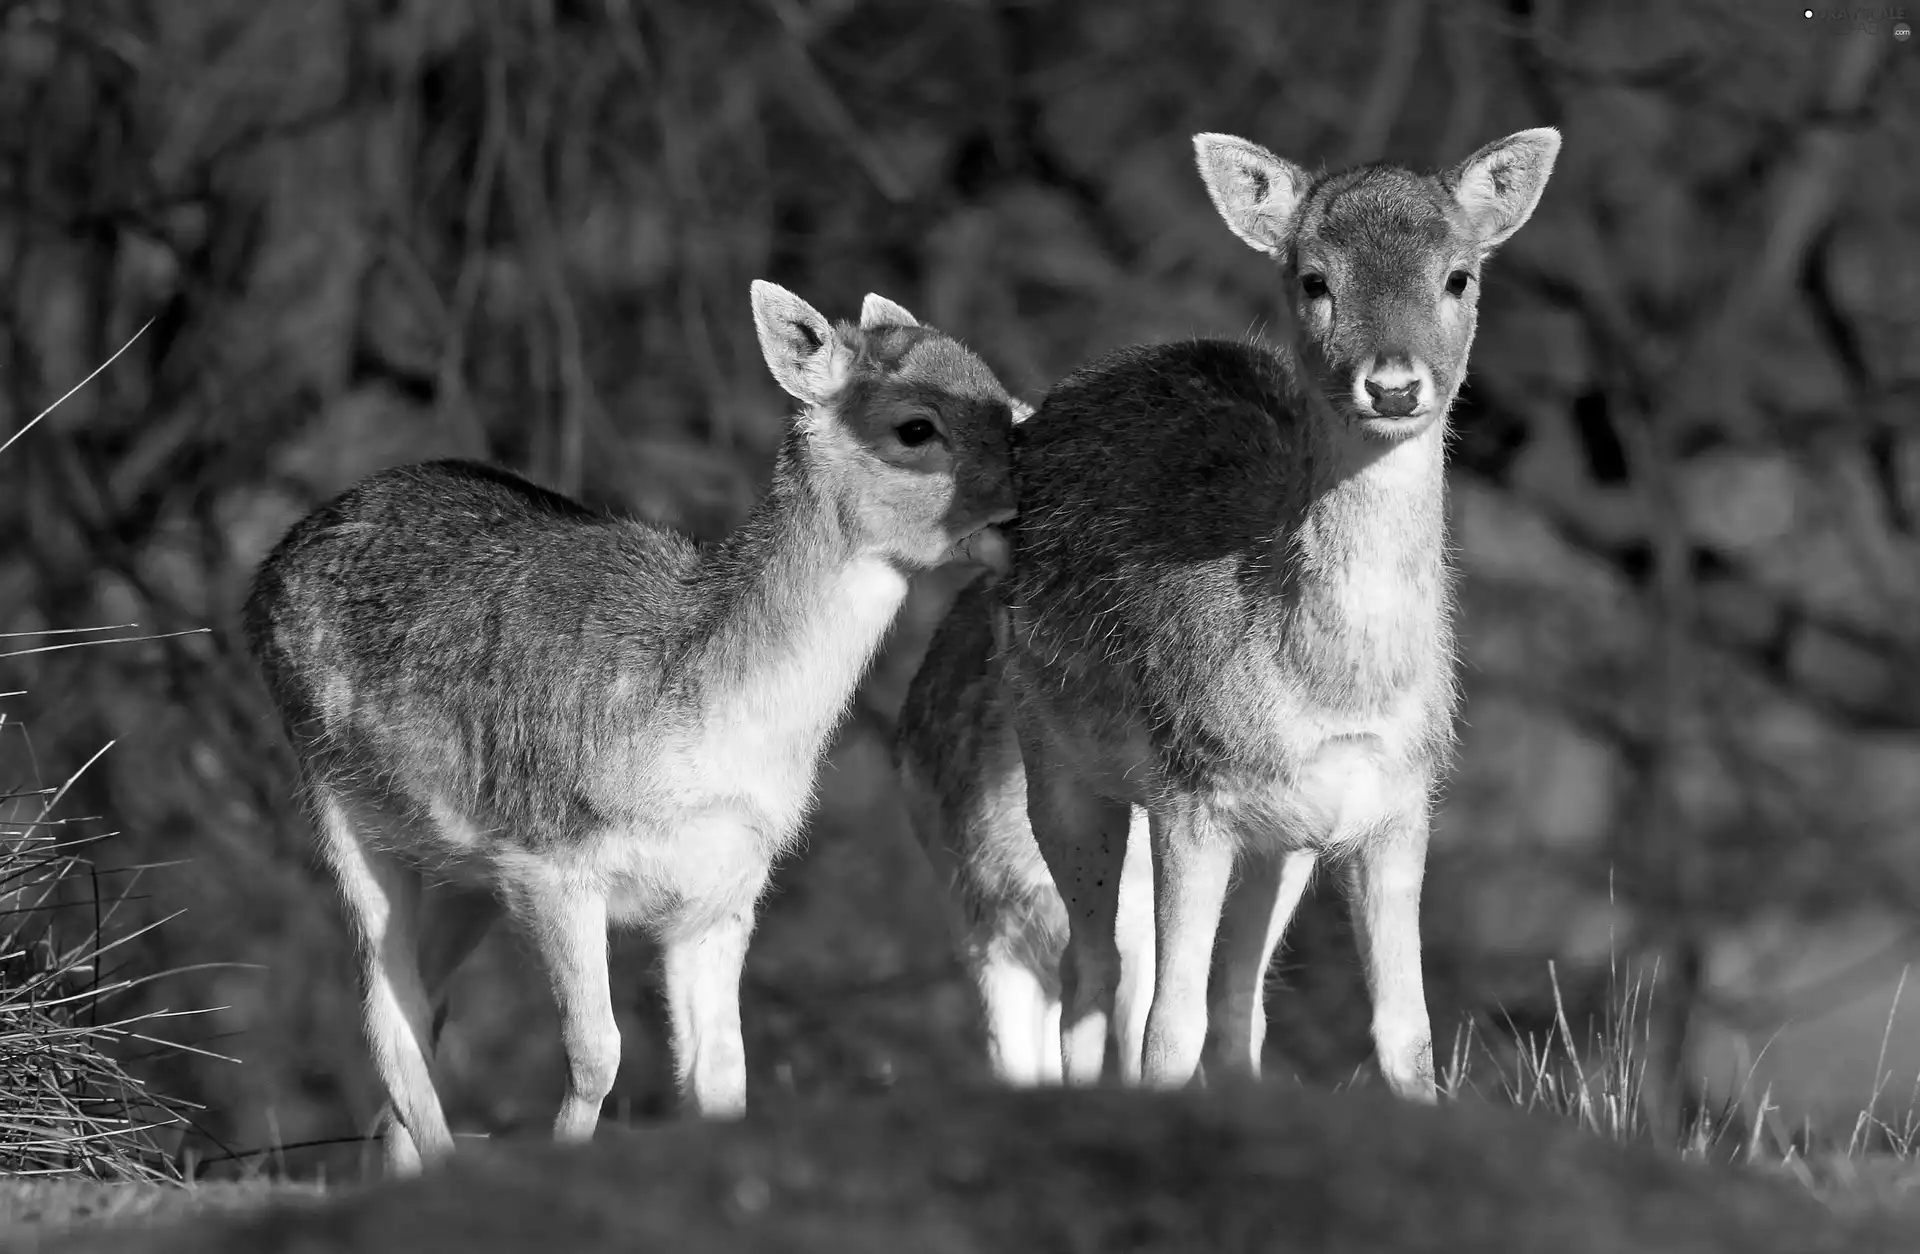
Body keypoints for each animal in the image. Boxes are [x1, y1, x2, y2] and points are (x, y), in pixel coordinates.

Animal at [249, 278, 1029, 1167]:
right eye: (916, 427)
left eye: (1004, 395)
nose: (1028, 501)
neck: (704, 731)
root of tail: (267, 569)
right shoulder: (549, 860)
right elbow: (597, 1054)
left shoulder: (725, 888)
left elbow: (723, 1080)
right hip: (335, 794)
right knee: (387, 1013)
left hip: (459, 872)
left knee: (426, 1009)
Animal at [898, 124, 1559, 1083]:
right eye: (1314, 278)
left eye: (1459, 276)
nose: (1394, 385)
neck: (1333, 690)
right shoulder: (1191, 793)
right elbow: (1168, 1030)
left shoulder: (1400, 800)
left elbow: (1407, 1031)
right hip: (1058, 766)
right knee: (1094, 973)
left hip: (1279, 843)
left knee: (1237, 1003)